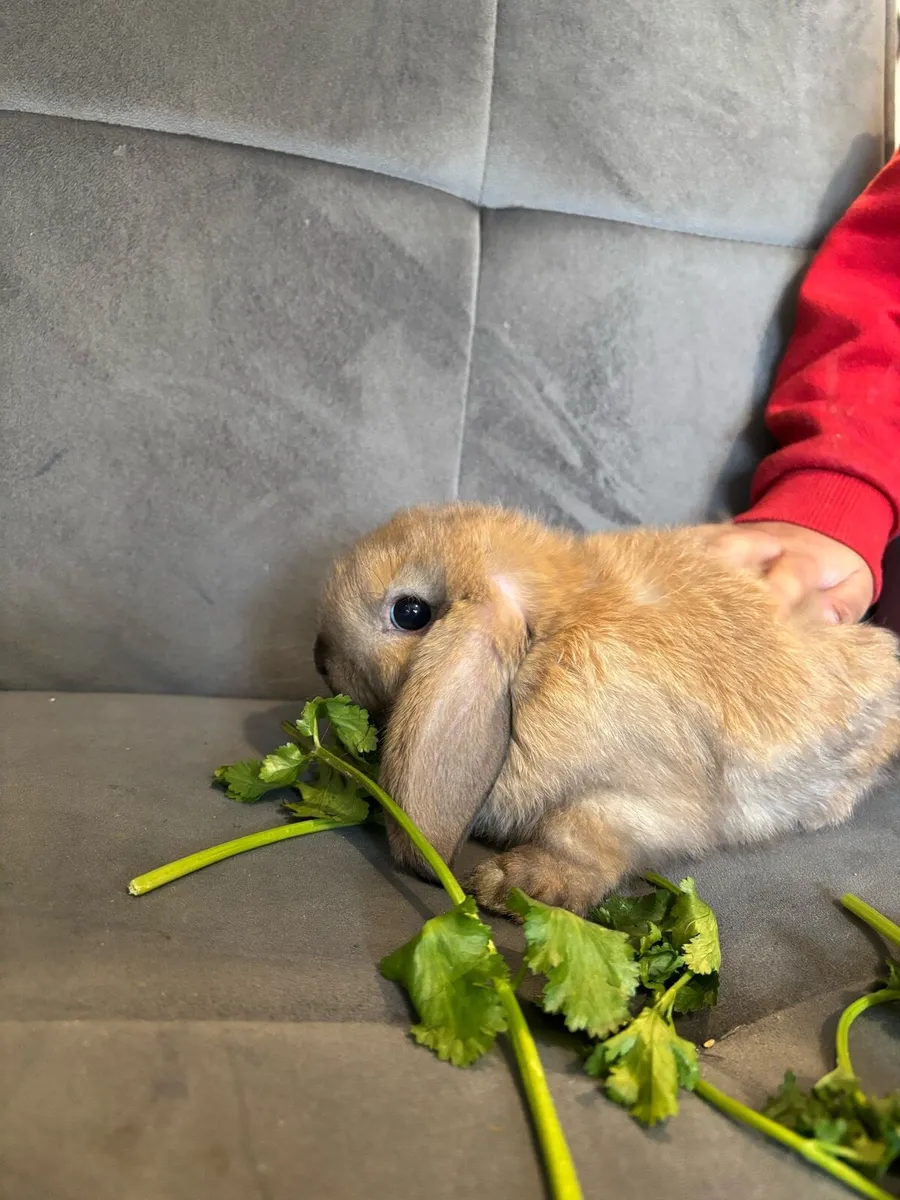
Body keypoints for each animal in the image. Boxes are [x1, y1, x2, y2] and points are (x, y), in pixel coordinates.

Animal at [314, 503, 900, 916]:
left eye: (410, 612)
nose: (319, 657)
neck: (545, 647)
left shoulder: (638, 796)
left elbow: (579, 833)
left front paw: (513, 886)